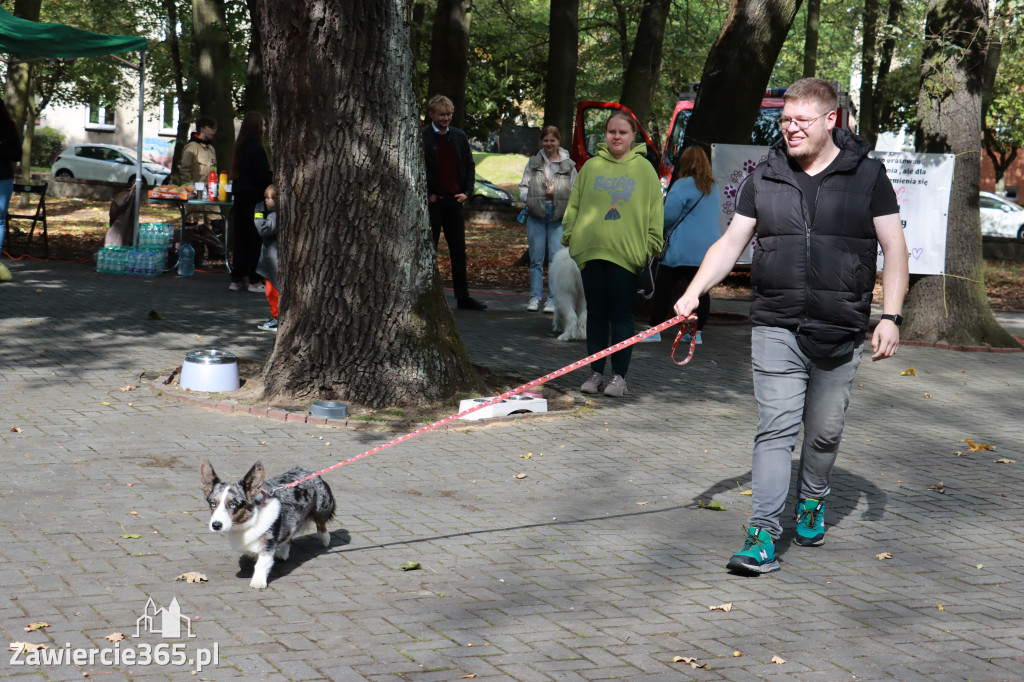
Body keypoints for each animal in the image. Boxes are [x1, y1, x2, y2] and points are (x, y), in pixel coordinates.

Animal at [195, 458, 331, 585]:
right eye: (213, 504)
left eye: (233, 505)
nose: (216, 525)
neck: (247, 521)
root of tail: (311, 472)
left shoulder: (268, 543)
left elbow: (261, 563)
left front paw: (258, 582)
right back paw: (283, 553)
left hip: (321, 507)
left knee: (321, 523)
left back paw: (325, 539)